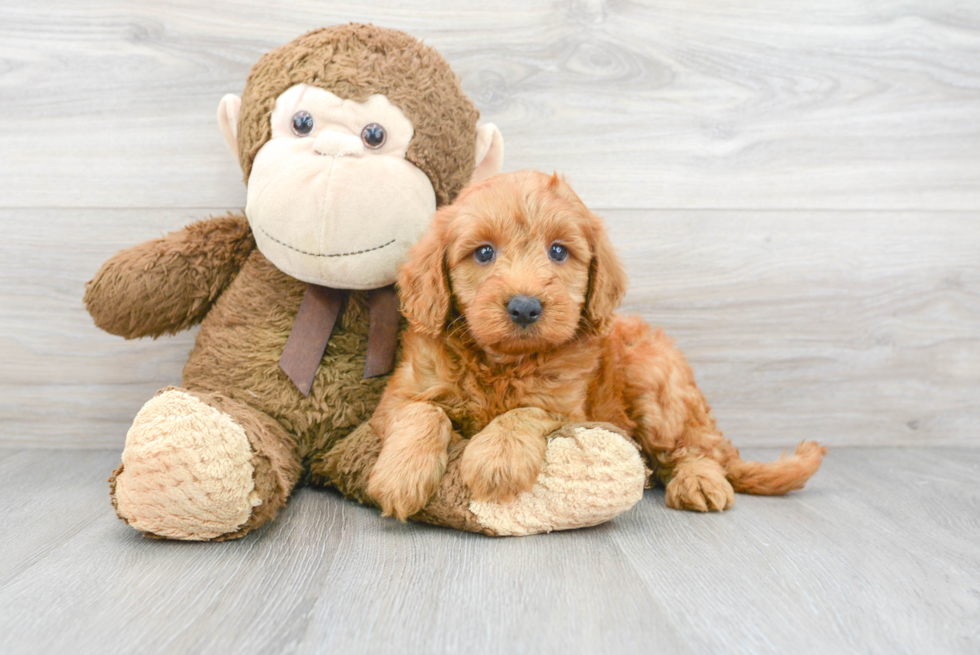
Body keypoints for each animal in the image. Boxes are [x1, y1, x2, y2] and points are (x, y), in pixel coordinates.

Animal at [364, 172, 824, 520]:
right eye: (483, 253)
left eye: (558, 251)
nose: (525, 307)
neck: (502, 363)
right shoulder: (396, 398)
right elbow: (422, 411)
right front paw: (401, 475)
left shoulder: (567, 408)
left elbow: (526, 411)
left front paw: (498, 457)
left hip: (656, 387)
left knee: (695, 449)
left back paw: (700, 481)